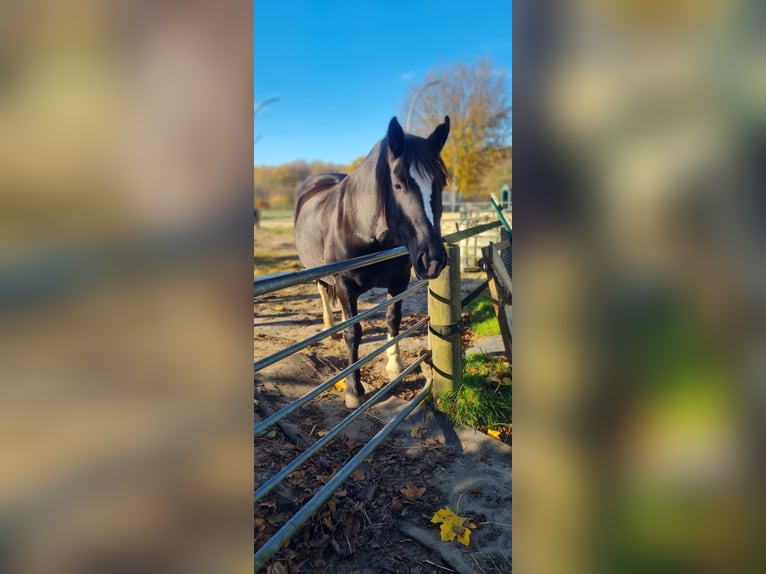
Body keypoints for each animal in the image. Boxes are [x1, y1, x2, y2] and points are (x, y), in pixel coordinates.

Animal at [294, 115, 450, 408]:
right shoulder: (345, 286)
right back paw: (329, 327)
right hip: (318, 271)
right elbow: (353, 333)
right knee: (323, 292)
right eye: (398, 184)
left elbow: (393, 319)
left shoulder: (399, 281)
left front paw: (394, 366)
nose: (433, 260)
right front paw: (354, 390)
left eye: (441, 183)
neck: (362, 227)